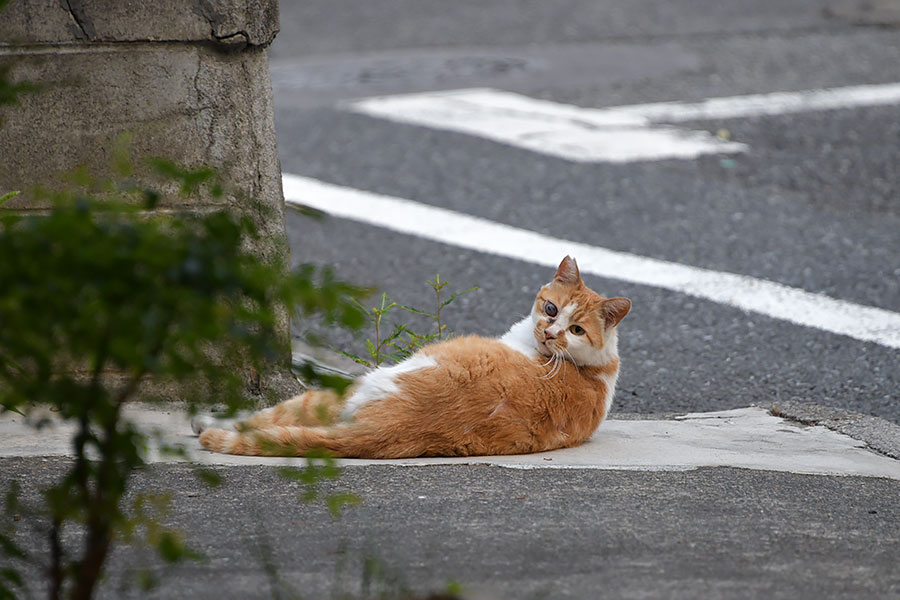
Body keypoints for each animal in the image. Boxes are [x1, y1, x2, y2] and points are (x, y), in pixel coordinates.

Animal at [199, 255, 632, 458]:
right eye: (551, 309)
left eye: (576, 330)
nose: (549, 332)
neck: (593, 368)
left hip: (363, 382)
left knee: (269, 418)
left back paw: (207, 423)